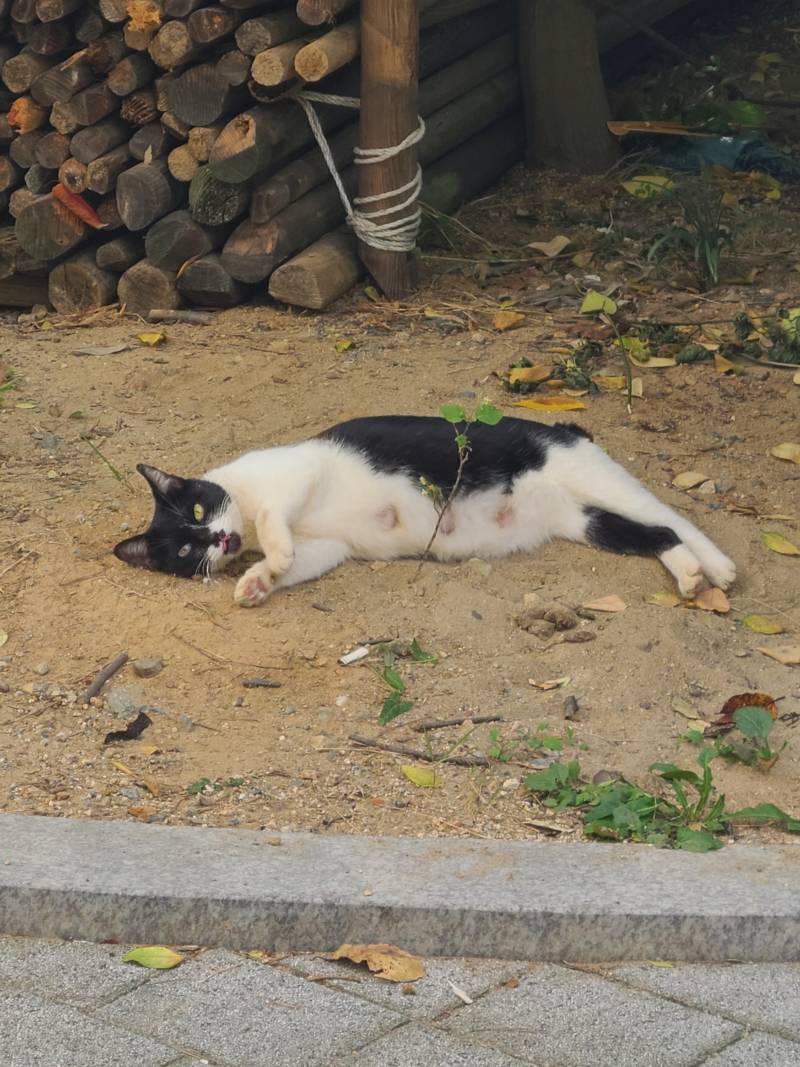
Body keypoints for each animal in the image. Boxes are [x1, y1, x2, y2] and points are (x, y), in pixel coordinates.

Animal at [114, 411, 738, 606]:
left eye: (198, 513)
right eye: (186, 550)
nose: (219, 541)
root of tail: (563, 426)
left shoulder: (299, 475)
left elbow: (276, 525)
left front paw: (270, 556)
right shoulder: (331, 548)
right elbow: (297, 561)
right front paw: (258, 581)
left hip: (588, 473)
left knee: (671, 515)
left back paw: (721, 567)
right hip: (584, 522)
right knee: (656, 535)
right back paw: (690, 576)